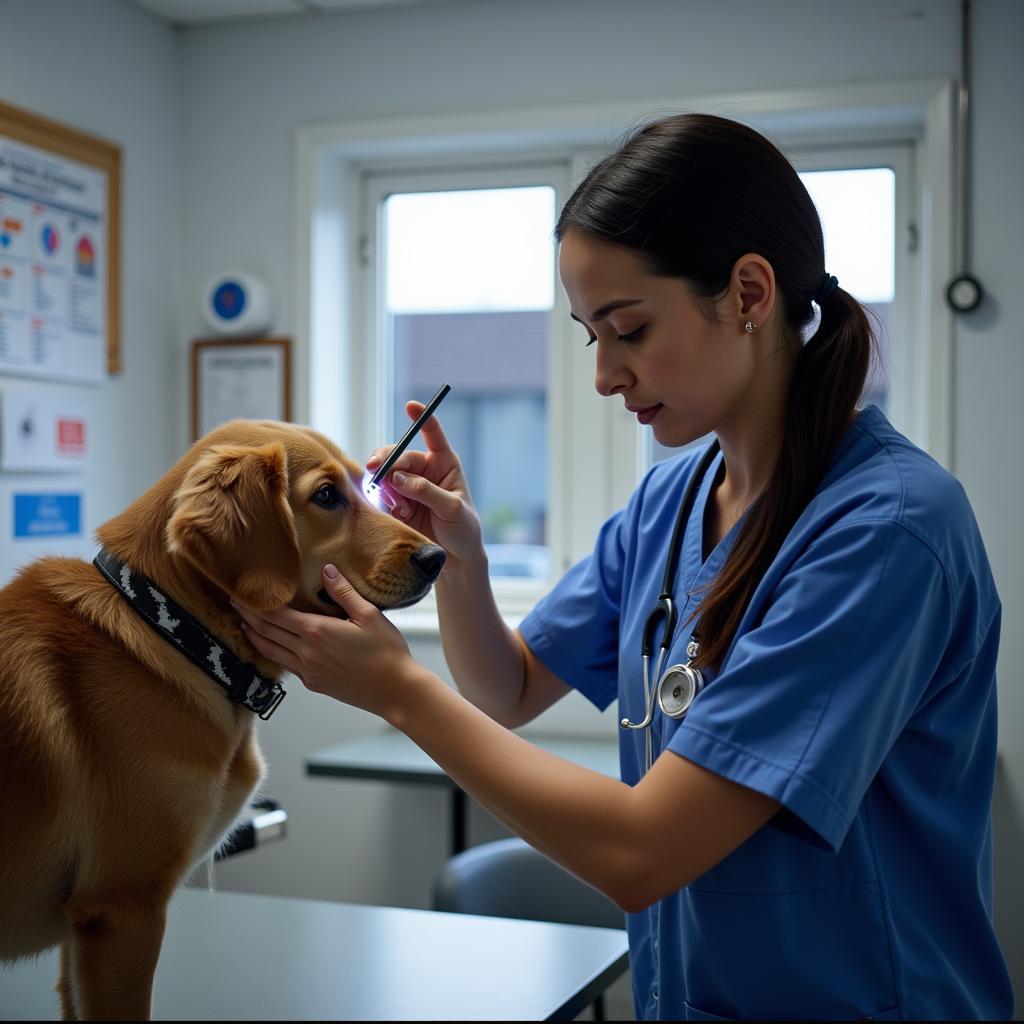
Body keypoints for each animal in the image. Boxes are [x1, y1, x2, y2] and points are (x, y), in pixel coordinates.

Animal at [0, 415, 444, 1015]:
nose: (437, 558)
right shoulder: (122, 910)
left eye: (364, 485)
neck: (172, 630)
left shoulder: (87, 927)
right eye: (327, 495)